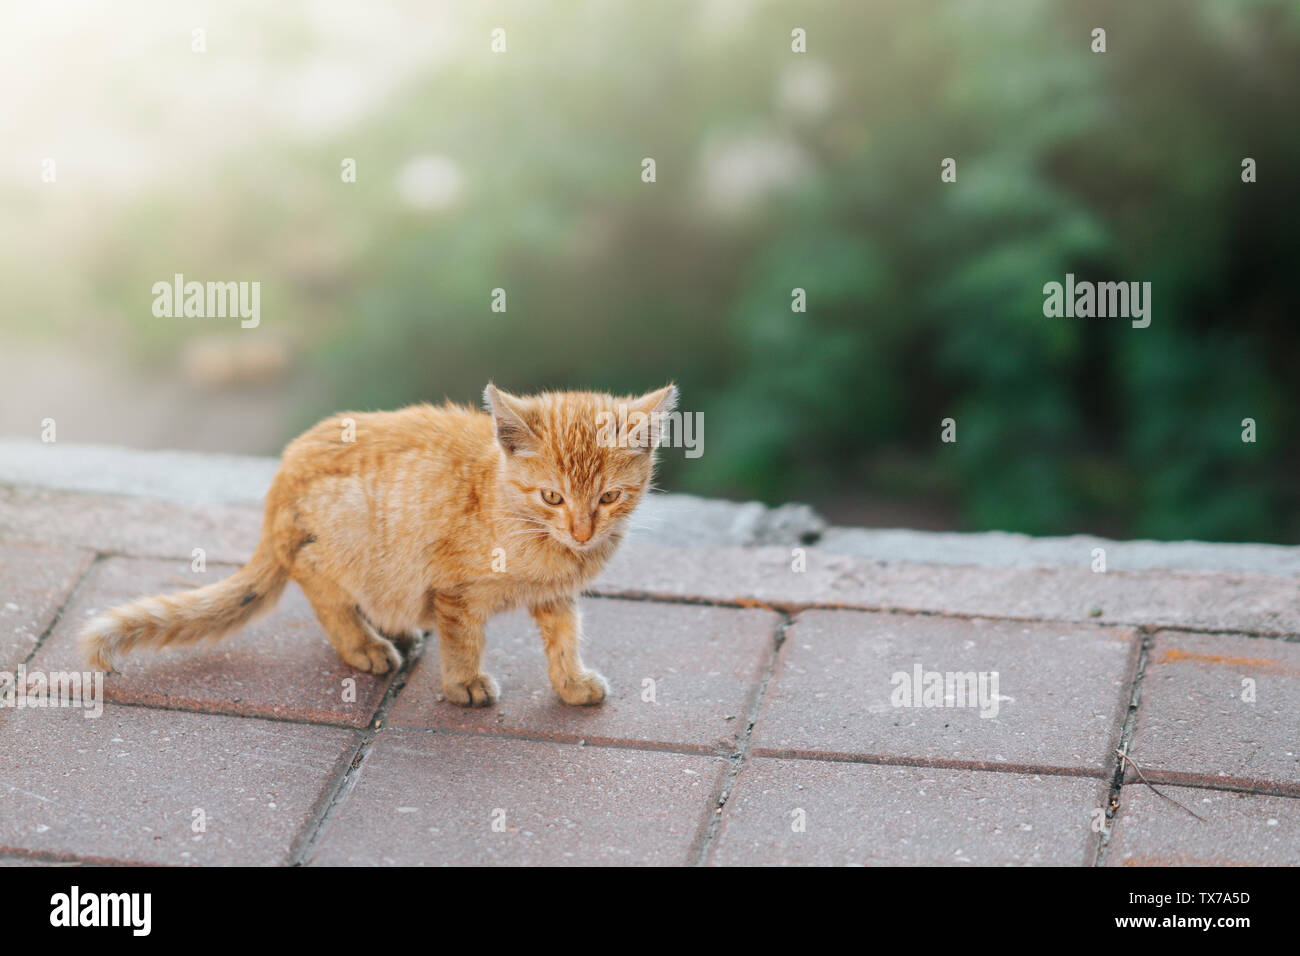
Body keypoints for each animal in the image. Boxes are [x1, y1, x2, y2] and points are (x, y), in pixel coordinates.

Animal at [78, 385, 681, 707]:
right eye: (552, 496)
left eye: (608, 497)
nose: (582, 531)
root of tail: (280, 480)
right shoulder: (454, 590)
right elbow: (464, 640)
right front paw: (463, 683)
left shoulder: (557, 596)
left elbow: (564, 638)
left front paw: (571, 682)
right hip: (340, 534)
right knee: (321, 587)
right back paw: (364, 644)